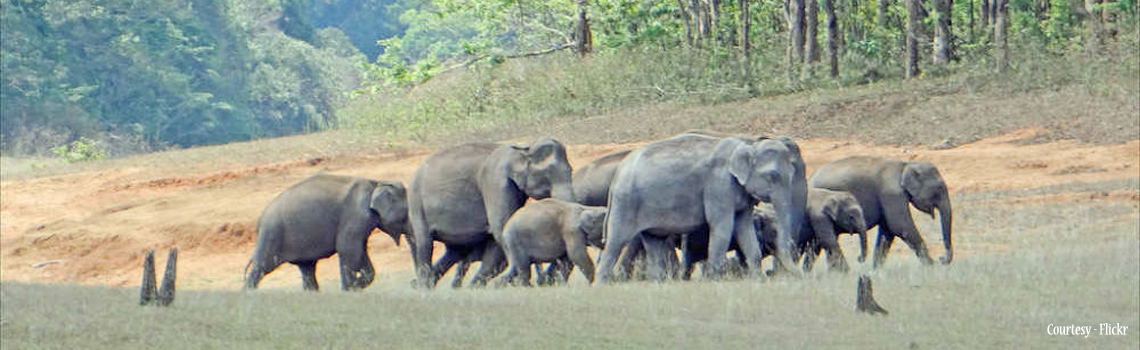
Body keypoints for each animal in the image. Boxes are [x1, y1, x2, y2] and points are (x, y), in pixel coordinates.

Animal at [245, 174, 410, 291]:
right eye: (407, 213)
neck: (376, 183)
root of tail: (260, 221)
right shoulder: (355, 216)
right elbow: (348, 249)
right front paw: (349, 289)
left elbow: (360, 250)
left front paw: (356, 285)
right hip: (272, 235)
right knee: (262, 267)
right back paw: (247, 293)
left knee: (307, 268)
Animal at [408, 138, 574, 289]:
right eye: (547, 174)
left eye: (571, 170)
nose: (545, 281)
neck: (523, 150)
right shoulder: (495, 182)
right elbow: (501, 227)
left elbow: (497, 240)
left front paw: (476, 288)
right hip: (416, 204)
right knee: (425, 243)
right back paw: (423, 286)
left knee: (456, 251)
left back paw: (425, 283)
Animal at [592, 132, 807, 283]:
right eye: (773, 176)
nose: (772, 275)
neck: (748, 144)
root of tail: (617, 175)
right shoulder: (718, 186)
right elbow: (722, 227)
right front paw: (715, 280)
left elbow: (744, 229)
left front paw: (758, 280)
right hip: (626, 203)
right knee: (615, 241)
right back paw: (601, 284)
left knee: (653, 241)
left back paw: (659, 282)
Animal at [811, 157, 953, 269]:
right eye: (939, 188)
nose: (941, 259)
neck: (905, 165)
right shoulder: (891, 194)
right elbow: (900, 226)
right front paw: (932, 266)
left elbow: (888, 231)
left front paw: (876, 270)